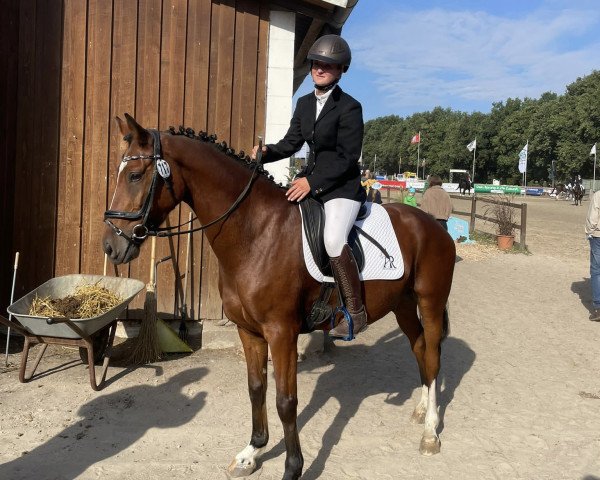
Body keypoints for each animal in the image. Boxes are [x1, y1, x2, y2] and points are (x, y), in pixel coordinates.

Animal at [102, 114, 454, 478]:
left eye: (134, 175)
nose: (110, 247)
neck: (256, 231)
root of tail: (433, 223)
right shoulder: (249, 331)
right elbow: (256, 389)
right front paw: (252, 452)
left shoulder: (281, 332)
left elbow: (286, 402)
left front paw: (292, 468)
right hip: (403, 304)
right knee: (419, 348)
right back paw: (422, 411)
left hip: (430, 301)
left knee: (432, 355)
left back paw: (430, 432)